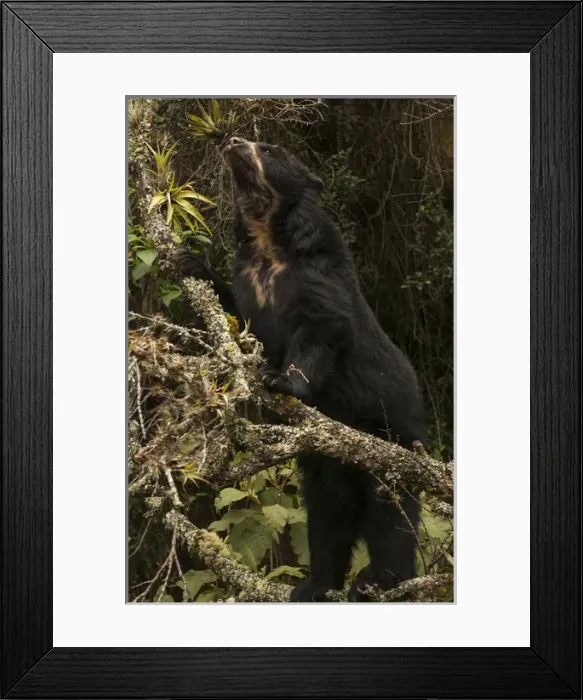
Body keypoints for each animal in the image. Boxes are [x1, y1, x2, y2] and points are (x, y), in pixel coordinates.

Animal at [177, 136, 427, 601]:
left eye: (269, 150)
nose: (233, 142)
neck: (268, 242)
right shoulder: (250, 280)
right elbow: (241, 316)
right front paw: (189, 261)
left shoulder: (317, 274)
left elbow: (319, 328)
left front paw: (282, 380)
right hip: (326, 465)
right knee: (327, 518)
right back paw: (315, 583)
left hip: (395, 440)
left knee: (391, 514)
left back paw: (379, 579)